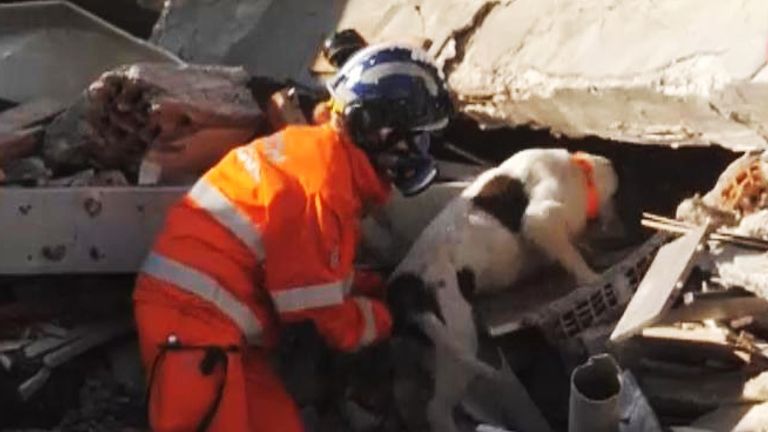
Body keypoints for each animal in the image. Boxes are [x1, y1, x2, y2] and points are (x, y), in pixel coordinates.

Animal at [390, 148, 616, 432]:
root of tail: (406, 289)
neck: (576, 171)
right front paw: (592, 276)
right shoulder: (540, 219)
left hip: (442, 348)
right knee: (436, 410)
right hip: (460, 340)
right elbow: (572, 255)